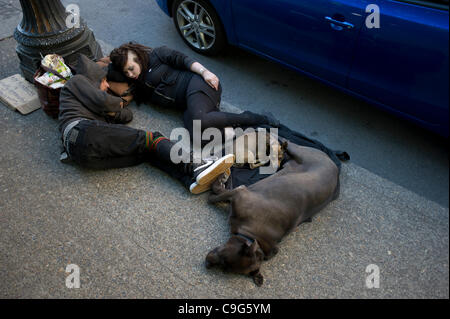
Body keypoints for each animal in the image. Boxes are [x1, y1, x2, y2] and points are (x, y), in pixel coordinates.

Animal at [206, 141, 340, 286]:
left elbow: (213, 196)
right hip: (299, 152)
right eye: (223, 260)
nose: (207, 263)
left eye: (224, 266)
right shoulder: (238, 192)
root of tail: (334, 165)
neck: (252, 236)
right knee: (286, 145)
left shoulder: (239, 193)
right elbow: (216, 193)